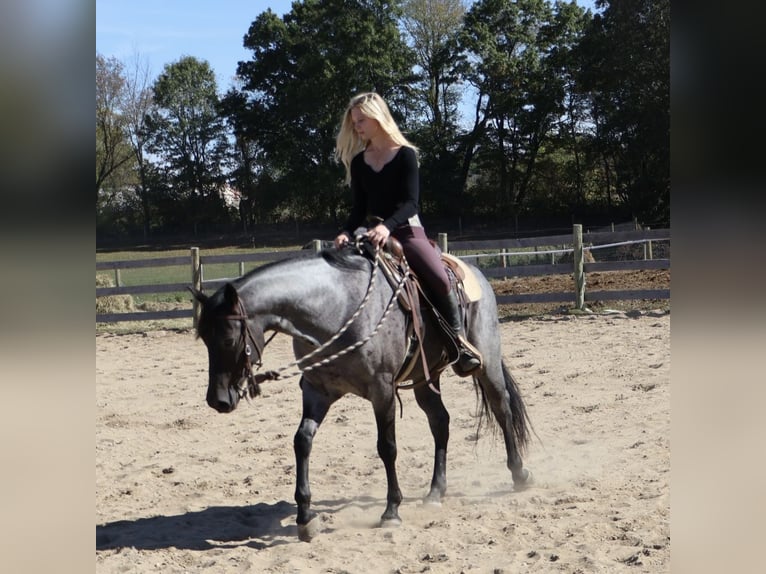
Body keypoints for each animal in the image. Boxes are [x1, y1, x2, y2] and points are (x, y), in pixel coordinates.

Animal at [191, 241, 533, 541]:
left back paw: (519, 474)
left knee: (501, 408)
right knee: (440, 422)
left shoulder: (382, 390)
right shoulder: (317, 390)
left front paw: (391, 511)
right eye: (204, 338)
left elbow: (387, 447)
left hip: (486, 362)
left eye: (229, 338)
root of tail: (473, 270)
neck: (336, 309)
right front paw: (305, 517)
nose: (217, 400)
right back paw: (436, 491)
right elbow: (302, 441)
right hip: (425, 378)